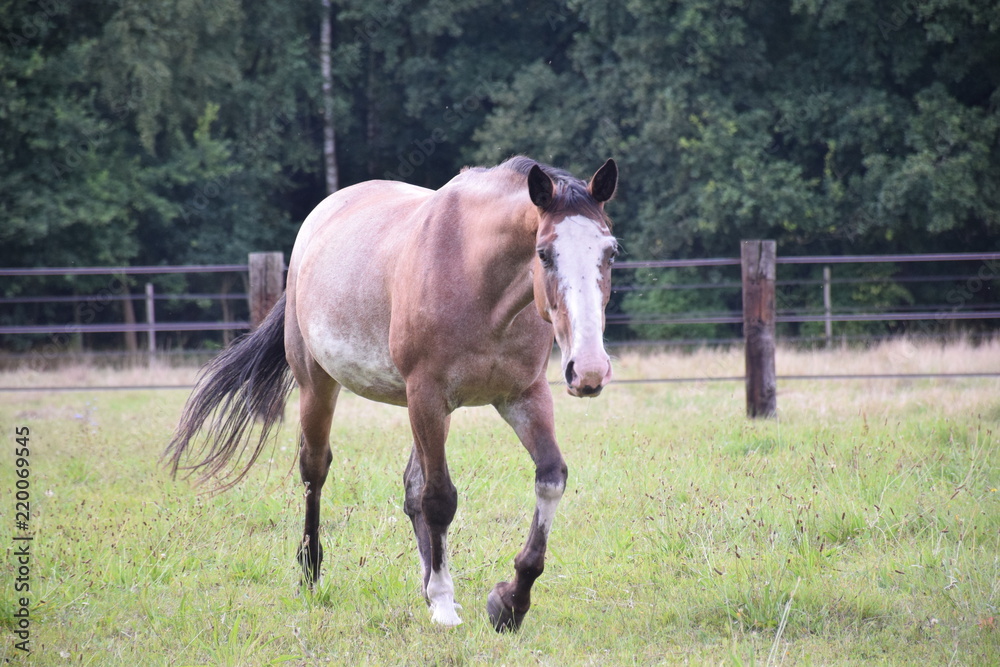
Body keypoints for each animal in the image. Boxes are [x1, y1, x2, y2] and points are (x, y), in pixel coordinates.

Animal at [166, 156, 619, 632]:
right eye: (543, 253)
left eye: (610, 252)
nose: (589, 370)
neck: (478, 281)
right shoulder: (426, 395)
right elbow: (438, 499)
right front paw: (445, 606)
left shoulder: (523, 396)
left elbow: (549, 478)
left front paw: (509, 602)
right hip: (318, 385)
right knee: (315, 471)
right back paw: (312, 574)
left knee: (411, 485)